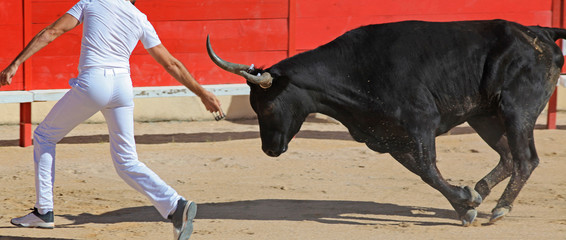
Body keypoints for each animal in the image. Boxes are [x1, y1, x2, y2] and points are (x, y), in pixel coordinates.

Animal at [207, 20, 566, 225]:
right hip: (485, 116)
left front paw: (467, 206)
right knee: (507, 156)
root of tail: (540, 32)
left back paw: (500, 208)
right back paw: (481, 190)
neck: (354, 70)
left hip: (515, 109)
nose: (269, 150)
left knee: (525, 159)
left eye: (266, 107)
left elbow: (427, 169)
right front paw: (465, 202)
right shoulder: (387, 137)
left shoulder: (420, 123)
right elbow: (422, 172)